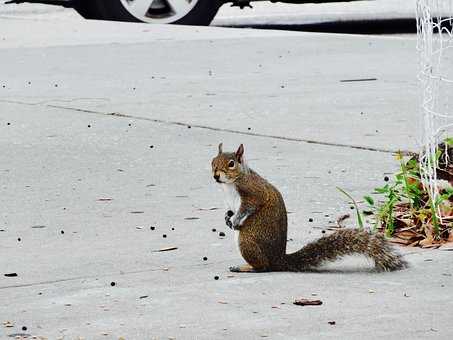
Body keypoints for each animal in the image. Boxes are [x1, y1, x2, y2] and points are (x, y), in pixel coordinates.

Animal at [211, 143, 406, 274]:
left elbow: (250, 206)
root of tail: (279, 261)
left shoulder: (254, 192)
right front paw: (227, 217)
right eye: (212, 162)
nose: (216, 175)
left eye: (231, 163)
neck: (231, 183)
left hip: (247, 240)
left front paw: (235, 219)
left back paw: (246, 267)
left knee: (263, 267)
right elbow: (230, 210)